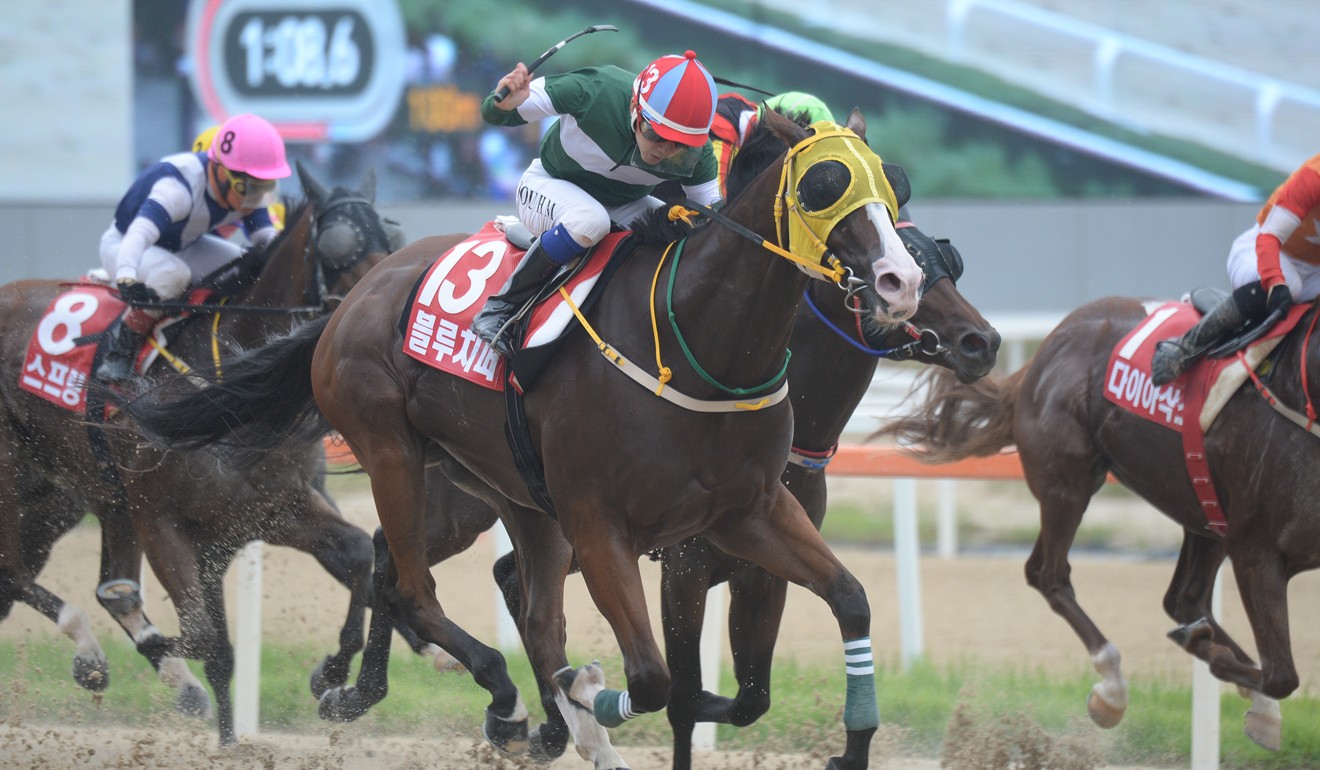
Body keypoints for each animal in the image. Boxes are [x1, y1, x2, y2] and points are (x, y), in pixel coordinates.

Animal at [0, 164, 393, 744]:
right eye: (339, 246)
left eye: (391, 238)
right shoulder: (164, 523)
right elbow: (208, 640)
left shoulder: (272, 510)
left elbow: (358, 553)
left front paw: (330, 677)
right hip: (17, 477)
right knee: (16, 573)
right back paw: (93, 655)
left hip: (62, 499)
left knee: (80, 584)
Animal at [128, 110, 924, 770]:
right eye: (825, 183)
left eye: (891, 182)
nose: (901, 279)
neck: (700, 343)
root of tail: (356, 296)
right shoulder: (605, 527)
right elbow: (652, 677)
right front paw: (583, 698)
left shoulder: (748, 512)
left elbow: (849, 598)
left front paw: (854, 746)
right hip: (393, 449)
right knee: (412, 587)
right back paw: (503, 702)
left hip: (513, 490)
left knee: (518, 609)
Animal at [865, 297, 1320, 755]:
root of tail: (1046, 350)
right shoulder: (1255, 551)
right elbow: (1283, 674)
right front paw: (1208, 652)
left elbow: (1278, 672)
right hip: (1068, 480)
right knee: (1049, 574)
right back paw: (1114, 688)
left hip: (1202, 510)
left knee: (1184, 600)